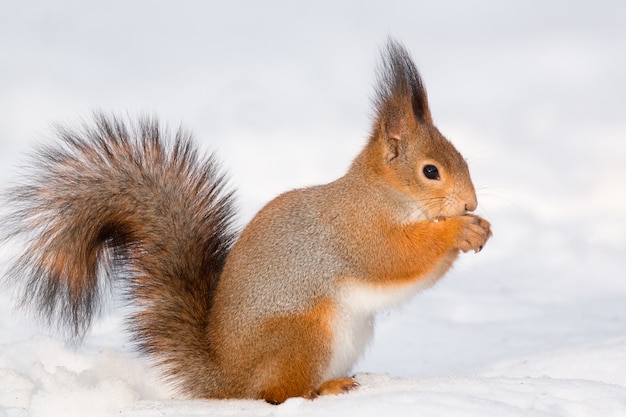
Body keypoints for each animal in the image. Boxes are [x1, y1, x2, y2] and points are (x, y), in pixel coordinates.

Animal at [0, 39, 488, 404]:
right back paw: (326, 388)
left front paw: (478, 228)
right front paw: (460, 230)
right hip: (303, 336)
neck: (385, 195)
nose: (471, 202)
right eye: (430, 171)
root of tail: (227, 379)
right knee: (278, 393)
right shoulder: (357, 230)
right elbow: (396, 257)